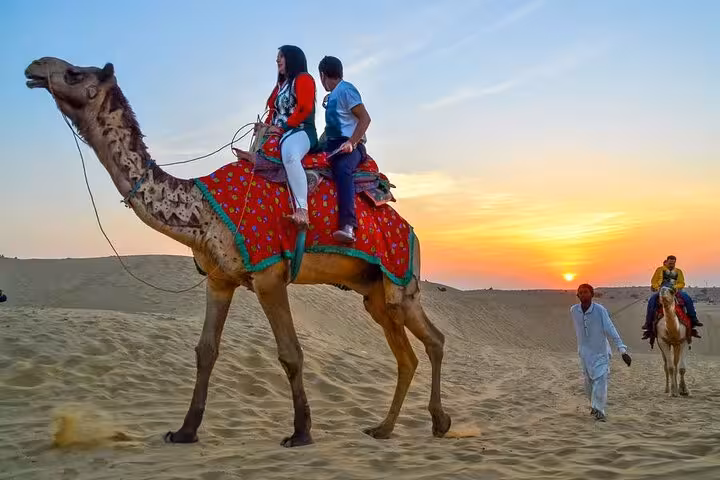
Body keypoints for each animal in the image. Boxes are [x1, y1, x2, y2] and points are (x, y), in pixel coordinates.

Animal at [24, 57, 451, 447]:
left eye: (75, 73)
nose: (34, 67)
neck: (201, 210)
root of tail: (411, 231)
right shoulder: (219, 279)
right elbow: (206, 350)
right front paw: (185, 431)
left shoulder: (268, 274)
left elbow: (290, 353)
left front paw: (301, 433)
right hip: (373, 292)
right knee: (409, 354)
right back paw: (386, 428)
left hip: (400, 280)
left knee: (433, 339)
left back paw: (438, 422)